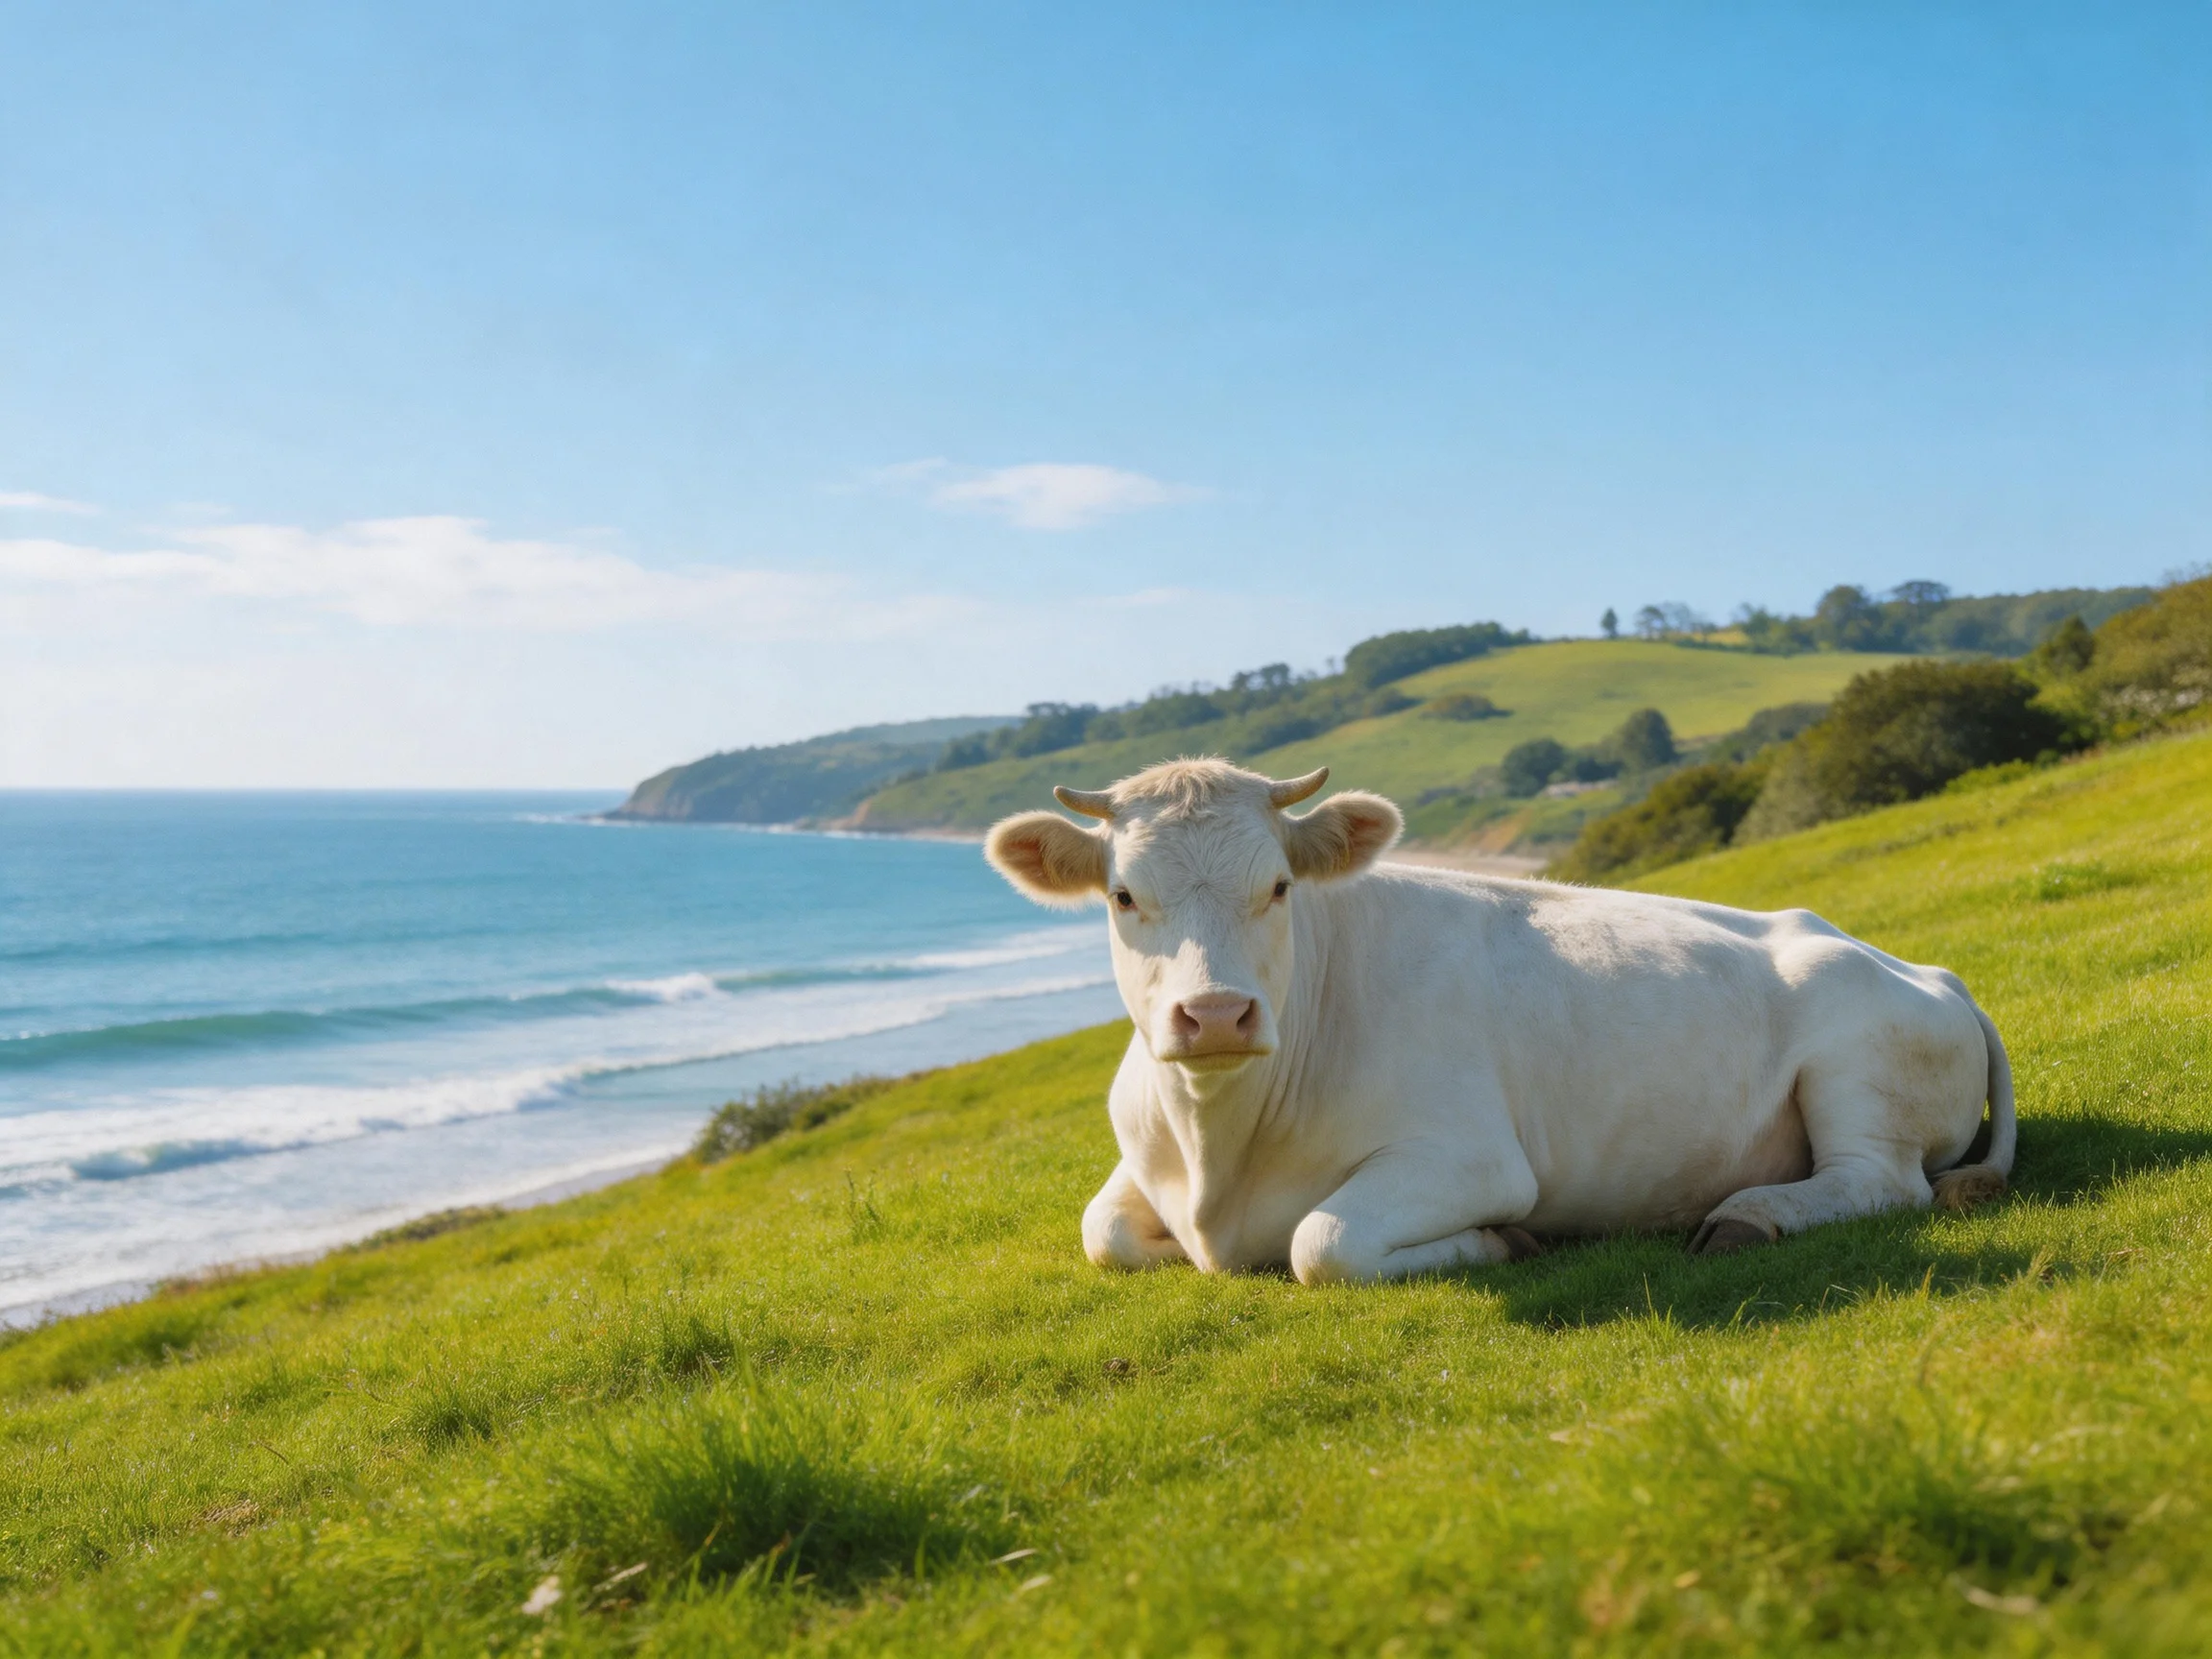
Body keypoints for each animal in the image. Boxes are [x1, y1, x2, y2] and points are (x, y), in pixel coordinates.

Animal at [983, 758, 2013, 1284]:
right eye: (1122, 895)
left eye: (1277, 887)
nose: (1217, 1014)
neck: (1215, 1156)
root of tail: (1930, 971)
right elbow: (1103, 1233)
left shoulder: (1473, 1159)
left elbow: (1324, 1244)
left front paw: (1500, 1244)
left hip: (1857, 1060)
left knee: (1880, 1183)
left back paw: (1748, 1217)